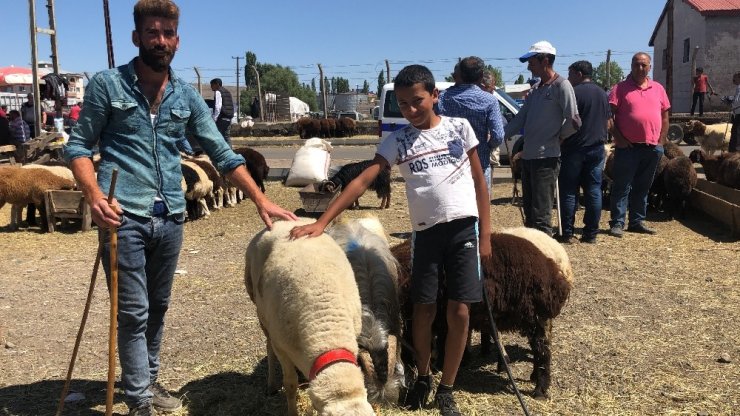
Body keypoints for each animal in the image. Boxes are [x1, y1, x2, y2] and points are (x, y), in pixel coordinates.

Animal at [246, 218, 376, 416]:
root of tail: (283, 221)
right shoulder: (282, 347)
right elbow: (290, 384)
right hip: (260, 310)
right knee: (269, 345)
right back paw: (271, 384)